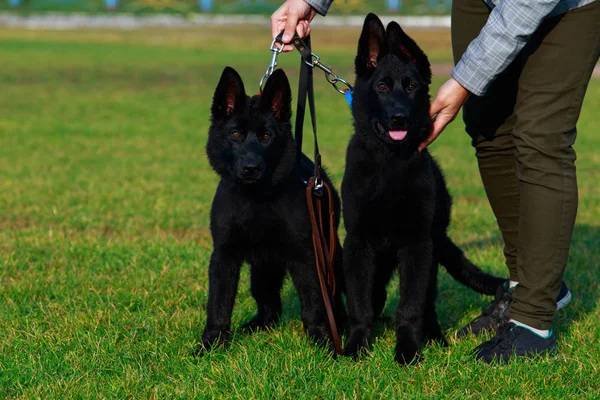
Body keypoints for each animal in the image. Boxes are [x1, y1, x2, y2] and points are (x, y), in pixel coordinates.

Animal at [200, 67, 344, 354]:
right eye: (235, 134)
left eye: (266, 136)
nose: (250, 168)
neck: (257, 198)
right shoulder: (224, 255)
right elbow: (218, 304)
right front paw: (211, 344)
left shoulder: (306, 257)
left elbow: (314, 305)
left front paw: (322, 343)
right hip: (263, 270)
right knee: (270, 307)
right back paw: (255, 326)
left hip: (330, 254)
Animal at [340, 14, 504, 366]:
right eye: (382, 86)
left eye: (412, 87)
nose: (399, 118)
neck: (390, 161)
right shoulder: (358, 243)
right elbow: (360, 304)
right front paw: (356, 346)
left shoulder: (417, 245)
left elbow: (411, 306)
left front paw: (408, 350)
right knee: (376, 297)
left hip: (432, 247)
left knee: (426, 302)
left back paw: (434, 336)